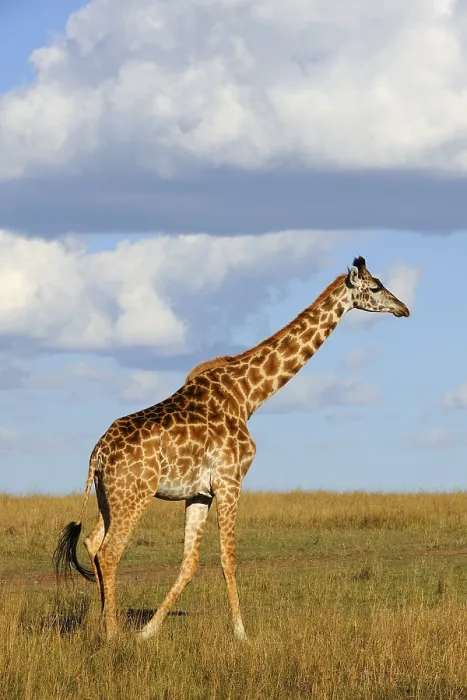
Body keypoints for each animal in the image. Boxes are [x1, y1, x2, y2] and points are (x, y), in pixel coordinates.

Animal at [54, 256, 410, 641]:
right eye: (375, 287)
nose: (403, 308)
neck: (247, 395)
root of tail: (97, 454)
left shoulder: (200, 492)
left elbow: (190, 562)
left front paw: (149, 630)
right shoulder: (230, 480)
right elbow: (229, 557)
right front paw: (241, 633)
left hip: (109, 497)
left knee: (92, 542)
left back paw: (104, 623)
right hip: (134, 495)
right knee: (109, 551)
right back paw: (112, 634)